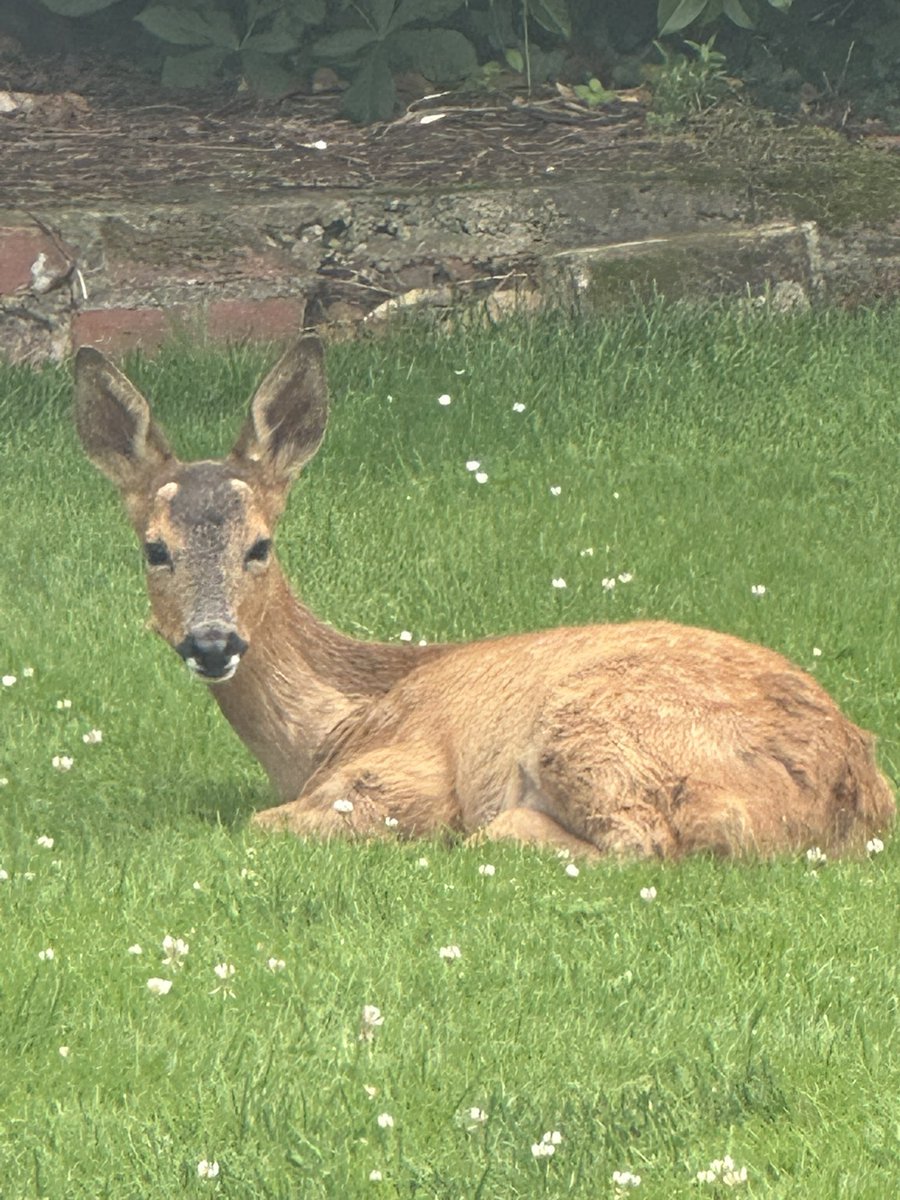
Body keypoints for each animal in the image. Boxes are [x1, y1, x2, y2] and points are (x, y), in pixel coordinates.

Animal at [73, 334, 895, 861]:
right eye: (155, 549)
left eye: (260, 545)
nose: (213, 642)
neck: (332, 729)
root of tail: (856, 794)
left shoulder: (402, 776)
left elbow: (265, 823)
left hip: (593, 728)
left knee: (639, 841)